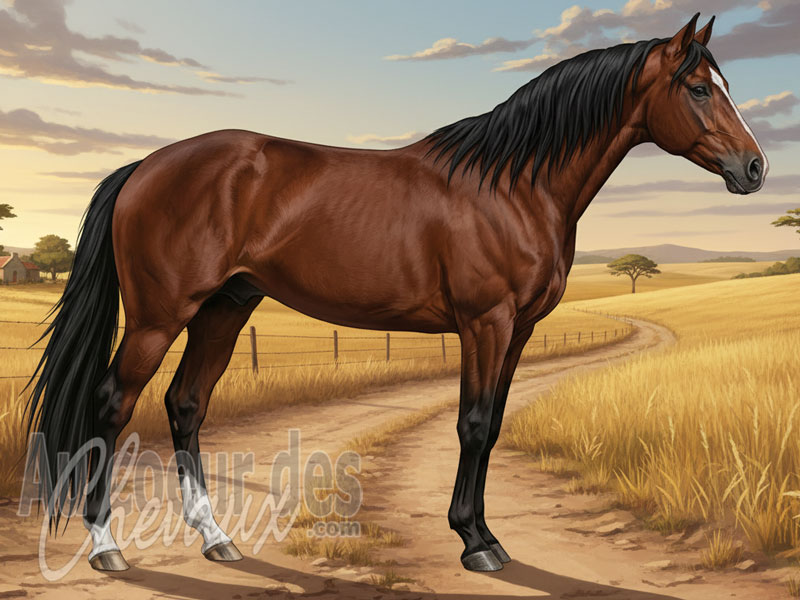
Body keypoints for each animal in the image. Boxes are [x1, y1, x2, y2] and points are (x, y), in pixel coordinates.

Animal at [25, 13, 767, 573]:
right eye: (699, 87)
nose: (755, 168)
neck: (513, 186)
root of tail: (144, 167)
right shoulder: (485, 322)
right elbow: (473, 423)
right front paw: (474, 542)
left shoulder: (519, 329)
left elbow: (493, 425)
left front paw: (485, 534)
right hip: (159, 316)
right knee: (114, 403)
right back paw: (107, 547)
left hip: (223, 309)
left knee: (186, 404)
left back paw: (216, 539)